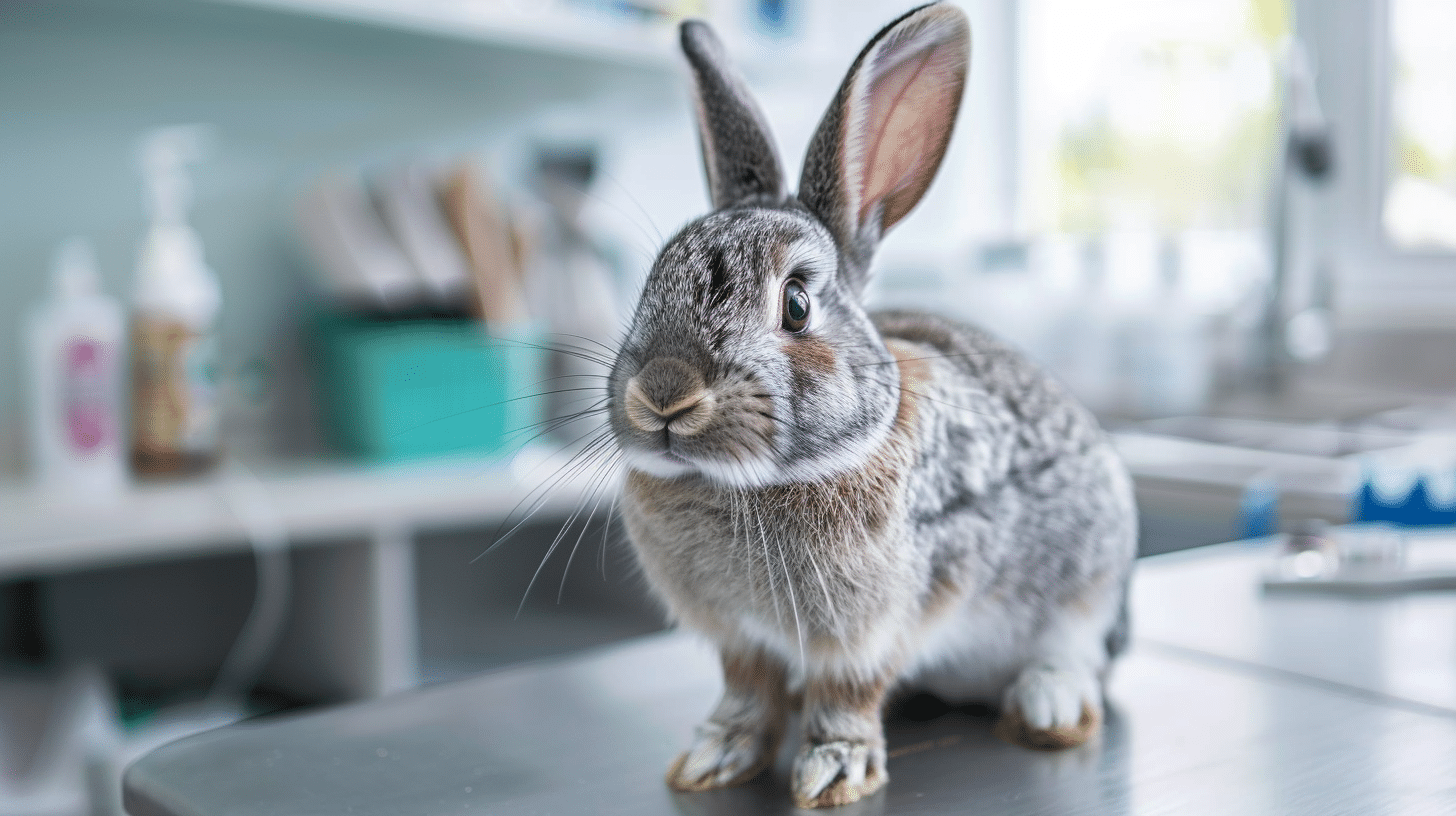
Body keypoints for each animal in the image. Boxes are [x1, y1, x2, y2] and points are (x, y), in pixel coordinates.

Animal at [605, 2, 1137, 808]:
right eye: (651, 282)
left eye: (796, 304)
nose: (663, 394)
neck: (742, 485)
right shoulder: (739, 639)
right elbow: (746, 694)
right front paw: (713, 758)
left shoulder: (874, 627)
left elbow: (847, 697)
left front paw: (834, 770)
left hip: (1090, 586)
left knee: (1078, 655)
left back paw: (1049, 705)